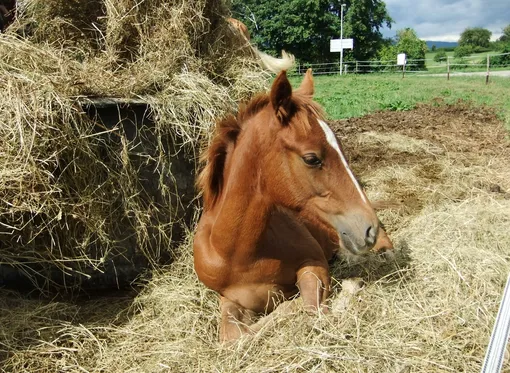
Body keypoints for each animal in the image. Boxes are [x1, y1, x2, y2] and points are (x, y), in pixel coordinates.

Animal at [195, 58, 394, 340]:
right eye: (311, 158)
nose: (368, 229)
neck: (237, 254)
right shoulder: (228, 299)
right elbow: (234, 337)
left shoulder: (314, 263)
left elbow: (307, 306)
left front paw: (350, 288)